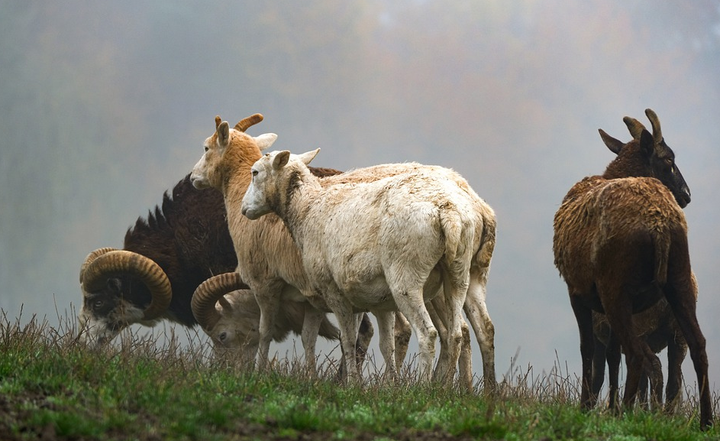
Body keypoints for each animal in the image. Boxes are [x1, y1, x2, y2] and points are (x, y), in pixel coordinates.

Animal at [556, 108, 712, 428]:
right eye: (668, 160)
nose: (687, 195)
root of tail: (661, 225)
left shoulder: (577, 290)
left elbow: (589, 351)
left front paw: (588, 407)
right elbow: (611, 355)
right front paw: (609, 407)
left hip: (616, 287)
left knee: (638, 356)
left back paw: (627, 413)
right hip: (678, 281)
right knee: (698, 347)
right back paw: (705, 421)